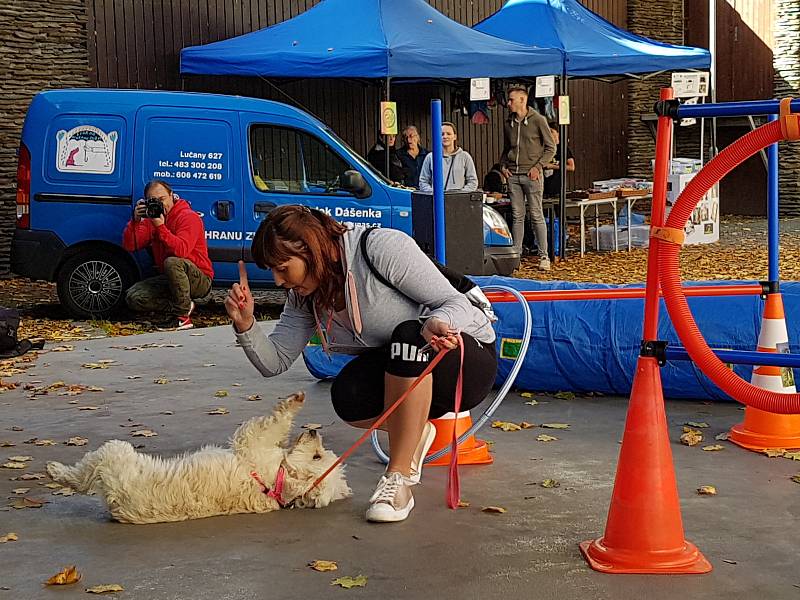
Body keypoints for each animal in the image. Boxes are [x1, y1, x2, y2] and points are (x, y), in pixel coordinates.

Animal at [47, 392, 350, 524]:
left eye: (316, 455)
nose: (313, 431)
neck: (274, 483)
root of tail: (118, 507)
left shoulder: (252, 442)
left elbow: (274, 422)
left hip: (113, 453)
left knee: (82, 475)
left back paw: (56, 471)